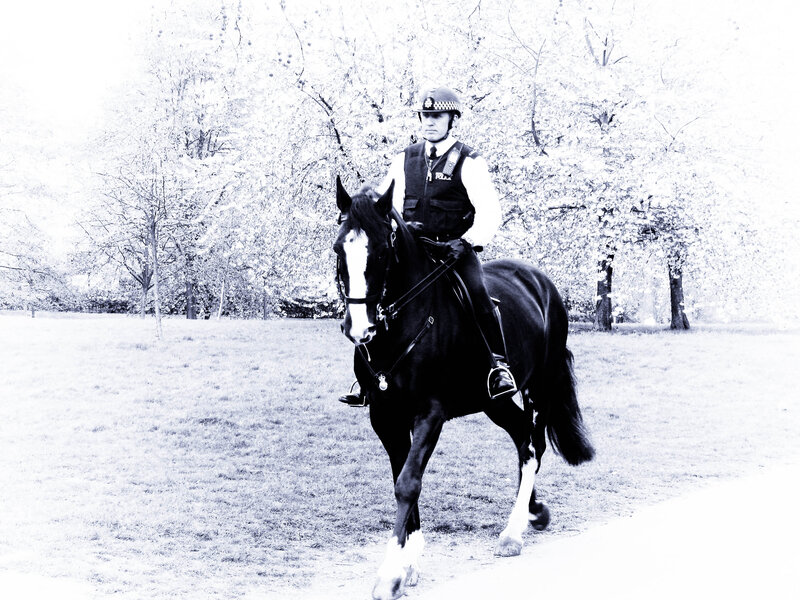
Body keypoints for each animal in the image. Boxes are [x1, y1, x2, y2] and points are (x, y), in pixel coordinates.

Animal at [333, 177, 595, 600]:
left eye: (384, 250)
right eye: (338, 247)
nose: (360, 327)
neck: (404, 323)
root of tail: (539, 281)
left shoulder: (430, 414)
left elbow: (408, 483)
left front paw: (390, 573)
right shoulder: (385, 417)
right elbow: (403, 478)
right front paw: (409, 563)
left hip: (539, 386)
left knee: (534, 445)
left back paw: (513, 532)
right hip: (493, 402)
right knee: (522, 437)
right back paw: (533, 512)